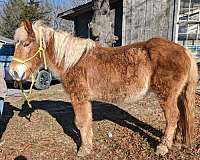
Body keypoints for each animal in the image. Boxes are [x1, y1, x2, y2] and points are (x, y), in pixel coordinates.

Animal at [9, 19, 197, 156]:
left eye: (26, 44)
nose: (14, 72)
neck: (72, 61)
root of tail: (184, 50)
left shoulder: (79, 97)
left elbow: (81, 122)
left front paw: (84, 150)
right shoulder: (85, 99)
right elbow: (86, 121)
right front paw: (89, 145)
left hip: (166, 95)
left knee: (172, 117)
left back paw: (163, 147)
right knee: (180, 117)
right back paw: (176, 142)